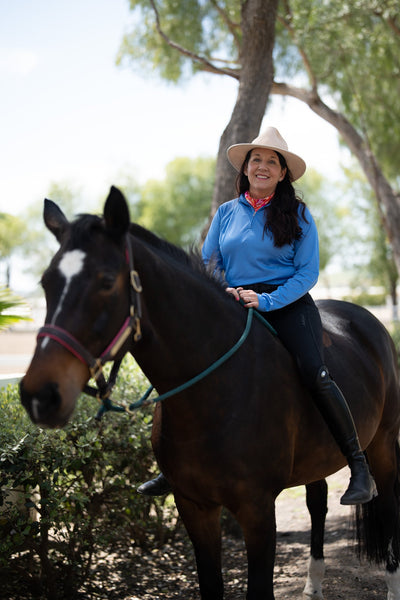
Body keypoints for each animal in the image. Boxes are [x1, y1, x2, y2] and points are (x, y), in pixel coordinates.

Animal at [20, 186, 400, 596]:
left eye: (106, 281)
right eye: (46, 282)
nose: (39, 395)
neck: (216, 395)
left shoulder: (257, 510)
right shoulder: (194, 507)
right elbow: (210, 584)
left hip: (381, 443)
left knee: (388, 505)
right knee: (318, 504)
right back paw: (313, 584)